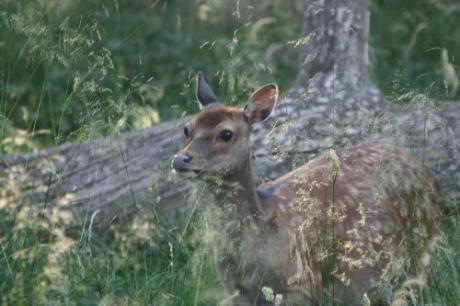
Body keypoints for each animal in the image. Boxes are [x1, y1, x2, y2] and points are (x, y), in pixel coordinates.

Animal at [171, 72, 444, 306]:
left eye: (226, 134)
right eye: (187, 129)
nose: (180, 160)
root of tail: (429, 173)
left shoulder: (303, 282)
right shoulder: (235, 290)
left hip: (423, 240)